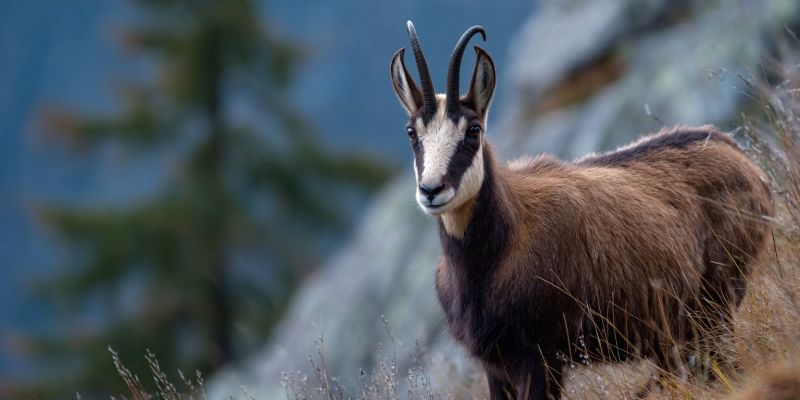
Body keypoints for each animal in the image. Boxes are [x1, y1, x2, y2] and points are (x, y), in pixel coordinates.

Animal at [390, 21, 773, 400]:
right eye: (411, 131)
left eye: (473, 129)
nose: (431, 190)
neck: (499, 250)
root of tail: (740, 157)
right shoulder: (495, 366)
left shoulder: (540, 358)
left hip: (717, 304)